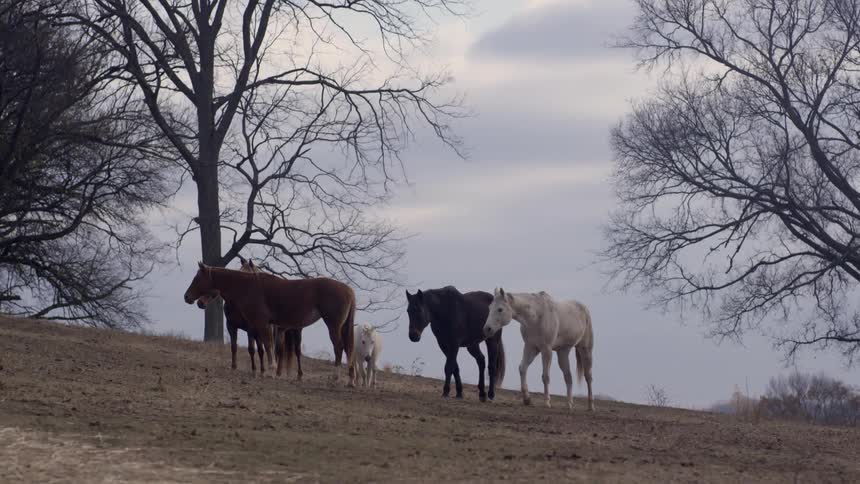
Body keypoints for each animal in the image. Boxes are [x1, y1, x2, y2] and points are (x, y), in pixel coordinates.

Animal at [184, 262, 356, 384]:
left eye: (197, 278)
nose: (187, 297)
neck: (248, 286)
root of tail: (348, 289)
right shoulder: (258, 327)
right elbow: (266, 348)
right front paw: (266, 371)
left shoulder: (262, 325)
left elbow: (268, 347)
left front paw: (270, 371)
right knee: (348, 348)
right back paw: (351, 380)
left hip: (333, 325)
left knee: (339, 347)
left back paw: (335, 377)